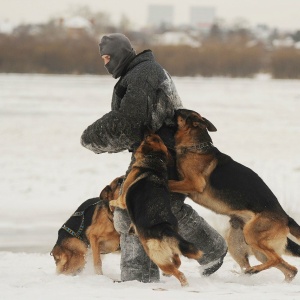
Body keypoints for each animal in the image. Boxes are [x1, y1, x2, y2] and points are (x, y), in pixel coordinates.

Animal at [109, 132, 203, 288]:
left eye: (146, 139)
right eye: (158, 138)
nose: (149, 131)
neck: (155, 162)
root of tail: (165, 227)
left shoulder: (122, 198)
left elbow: (116, 201)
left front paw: (110, 203)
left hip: (155, 254)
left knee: (178, 271)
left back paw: (183, 283)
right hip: (171, 248)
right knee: (177, 261)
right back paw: (169, 274)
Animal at [169, 109, 300, 282]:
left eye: (183, 113)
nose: (175, 110)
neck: (195, 147)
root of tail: (286, 217)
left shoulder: (194, 183)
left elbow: (169, 182)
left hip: (252, 235)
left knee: (277, 259)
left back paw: (254, 270)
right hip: (243, 246)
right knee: (289, 269)